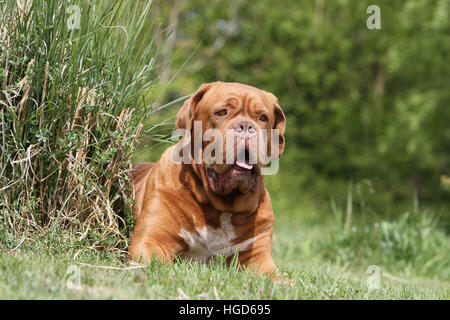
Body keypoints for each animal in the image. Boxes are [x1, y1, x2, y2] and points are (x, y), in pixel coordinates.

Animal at [128, 82, 286, 280]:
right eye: (222, 112)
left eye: (263, 117)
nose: (246, 126)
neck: (222, 208)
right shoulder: (151, 240)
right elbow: (160, 264)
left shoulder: (257, 257)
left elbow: (278, 278)